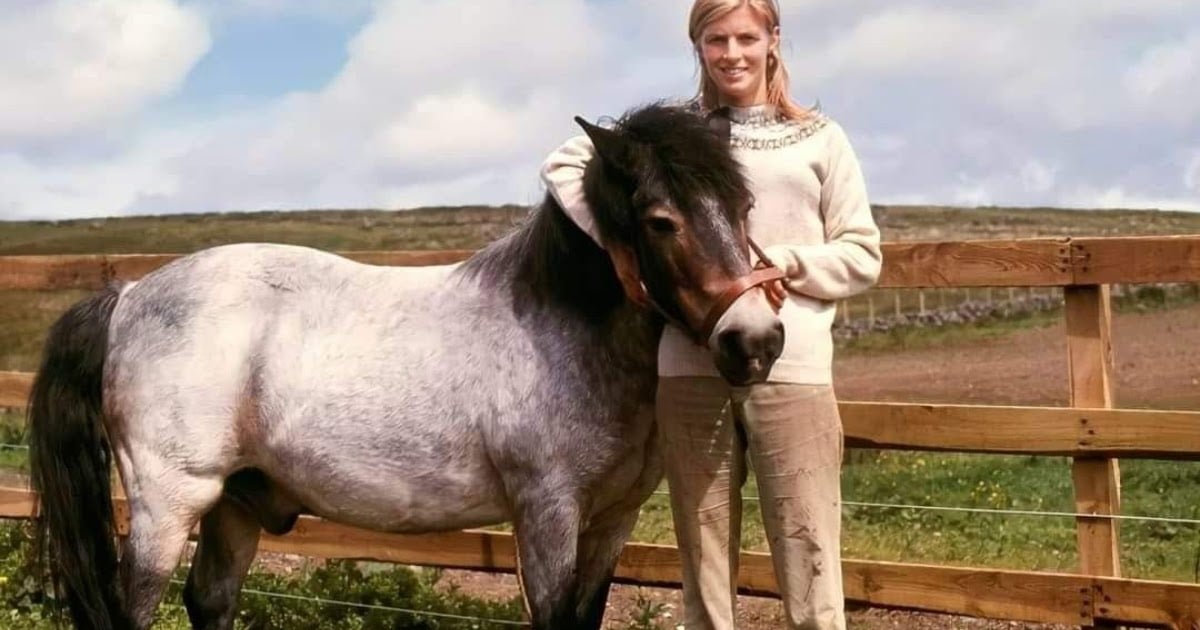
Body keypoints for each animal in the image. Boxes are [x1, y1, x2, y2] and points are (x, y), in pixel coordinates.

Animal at [28, 104, 787, 628]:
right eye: (660, 220)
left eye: (745, 205)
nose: (755, 340)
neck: (564, 331)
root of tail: (129, 295)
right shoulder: (546, 515)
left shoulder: (612, 522)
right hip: (168, 503)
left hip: (234, 504)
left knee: (210, 600)